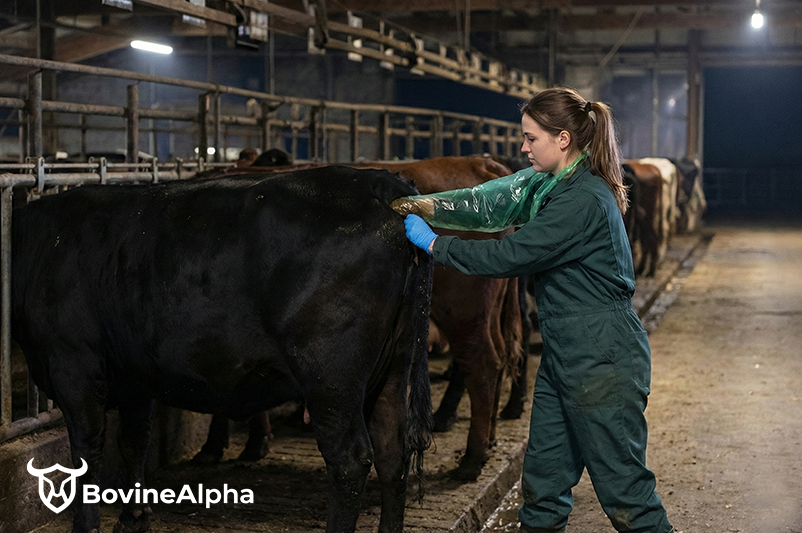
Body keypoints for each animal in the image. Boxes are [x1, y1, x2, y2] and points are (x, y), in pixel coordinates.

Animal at [11, 166, 434, 533]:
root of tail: (378, 183)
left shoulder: (72, 364)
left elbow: (86, 453)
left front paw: (87, 526)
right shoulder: (136, 375)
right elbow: (133, 443)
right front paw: (134, 518)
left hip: (331, 375)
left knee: (350, 460)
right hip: (393, 367)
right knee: (392, 453)